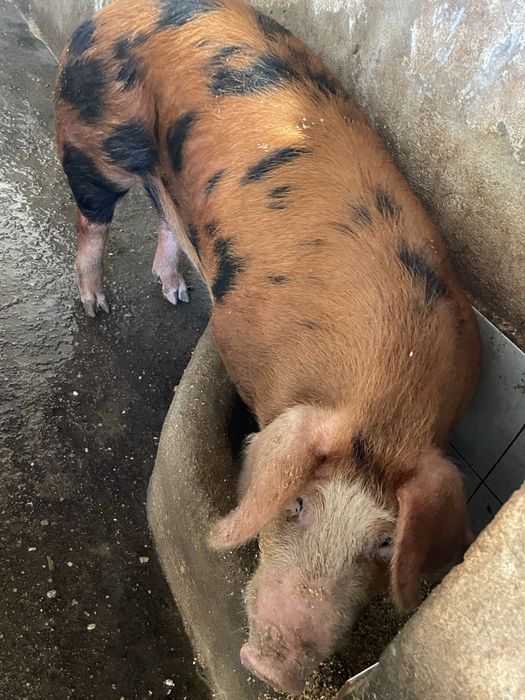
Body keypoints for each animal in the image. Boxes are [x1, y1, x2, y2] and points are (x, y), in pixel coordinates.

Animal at [55, 0, 481, 694]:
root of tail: (118, 12)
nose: (274, 668)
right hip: (91, 140)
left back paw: (176, 292)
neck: (386, 403)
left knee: (166, 214)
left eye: (383, 544)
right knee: (92, 221)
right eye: (297, 503)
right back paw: (95, 306)